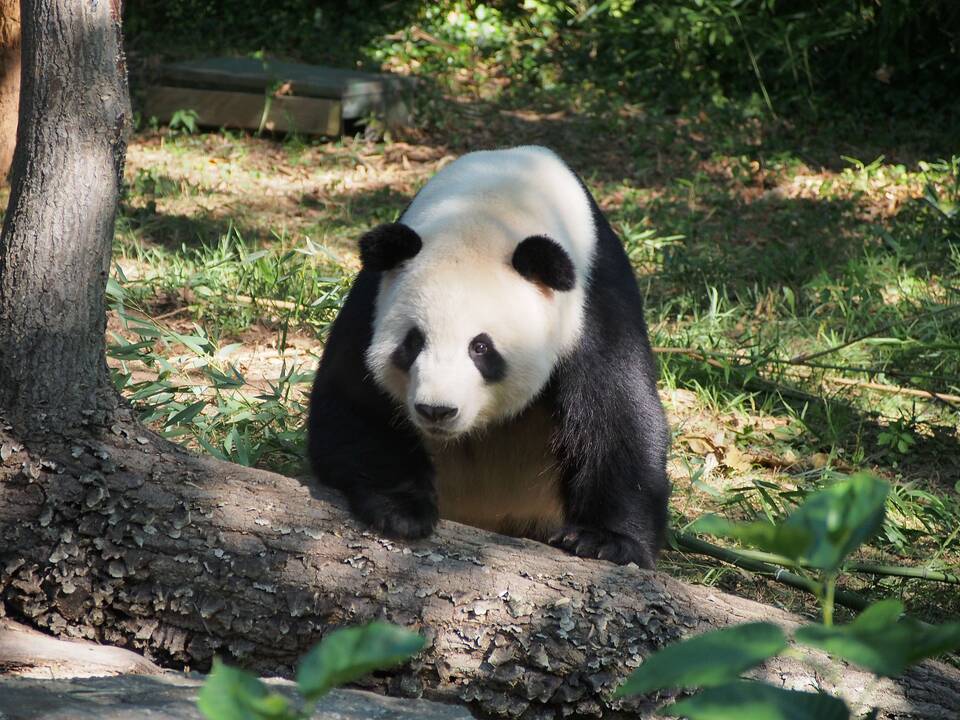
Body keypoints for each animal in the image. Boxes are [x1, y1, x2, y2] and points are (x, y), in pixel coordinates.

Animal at [306, 143, 668, 564]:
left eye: (480, 347)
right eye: (413, 343)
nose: (436, 411)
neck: (489, 209)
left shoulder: (595, 300)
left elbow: (618, 412)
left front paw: (605, 540)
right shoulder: (373, 298)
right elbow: (353, 402)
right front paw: (400, 509)